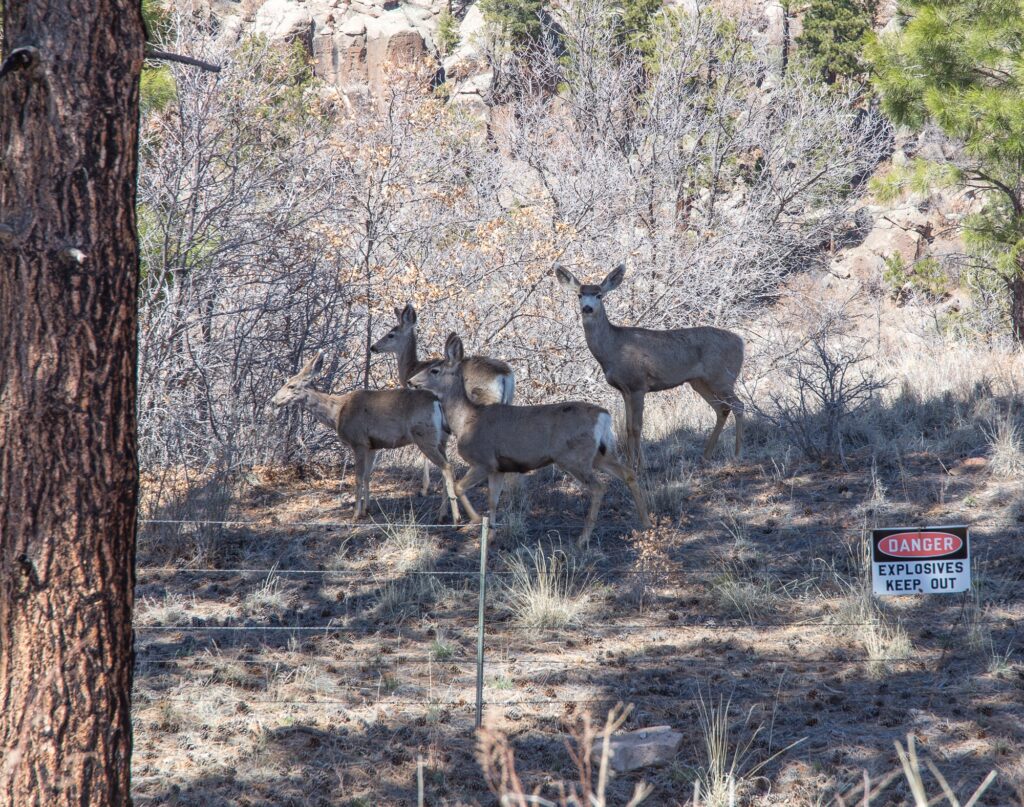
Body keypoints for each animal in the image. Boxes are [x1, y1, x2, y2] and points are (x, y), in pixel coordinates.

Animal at [268, 352, 460, 522]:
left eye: (291, 386)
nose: (273, 401)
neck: (337, 413)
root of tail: (437, 402)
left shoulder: (358, 441)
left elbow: (358, 477)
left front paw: (355, 514)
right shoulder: (372, 445)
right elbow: (368, 475)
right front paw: (367, 509)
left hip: (424, 436)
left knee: (447, 467)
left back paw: (455, 517)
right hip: (441, 439)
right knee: (446, 467)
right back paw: (443, 515)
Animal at [370, 301, 516, 495]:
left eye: (390, 334)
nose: (373, 347)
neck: (412, 368)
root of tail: (505, 374)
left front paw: (425, 488)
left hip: (485, 399)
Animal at [407, 331, 647, 544]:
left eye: (434, 370)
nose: (410, 381)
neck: (466, 420)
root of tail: (603, 415)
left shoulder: (484, 460)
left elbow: (459, 487)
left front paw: (474, 520)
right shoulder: (498, 467)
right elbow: (493, 500)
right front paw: (491, 535)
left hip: (574, 457)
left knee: (599, 487)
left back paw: (583, 538)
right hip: (600, 453)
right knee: (628, 473)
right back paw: (645, 522)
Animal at [557, 264, 749, 466]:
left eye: (599, 295)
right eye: (579, 294)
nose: (587, 308)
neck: (612, 350)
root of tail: (741, 342)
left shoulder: (638, 385)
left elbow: (636, 427)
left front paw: (640, 466)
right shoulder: (624, 389)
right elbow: (627, 427)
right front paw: (631, 463)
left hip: (722, 377)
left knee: (738, 405)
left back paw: (737, 454)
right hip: (700, 381)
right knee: (722, 408)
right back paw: (706, 455)